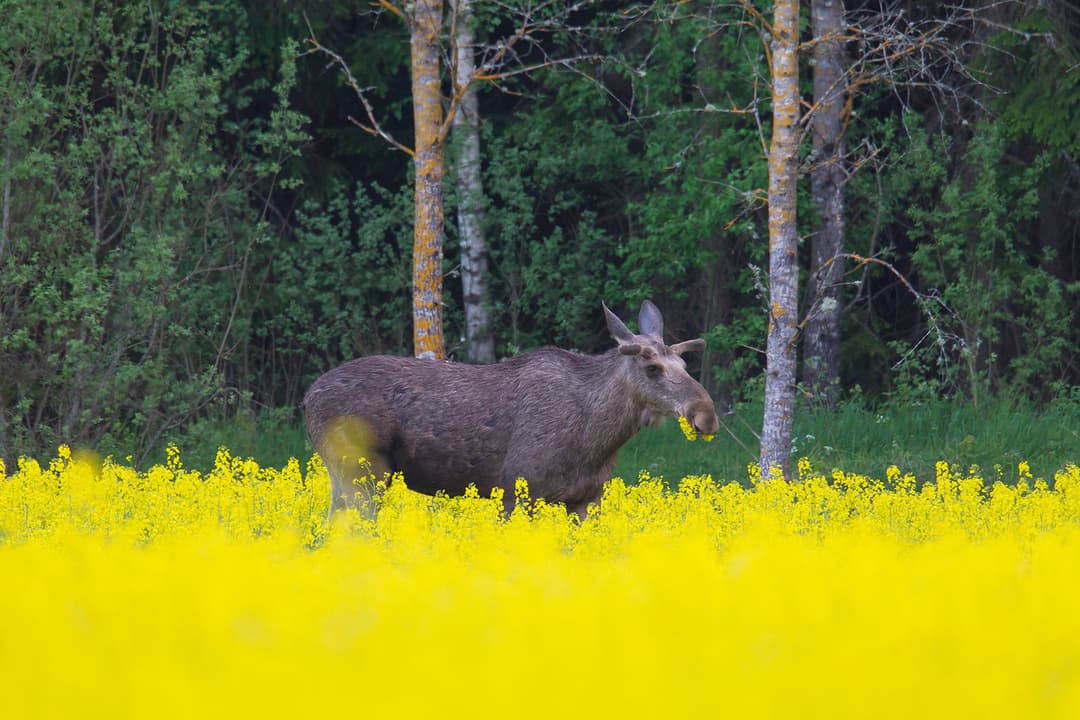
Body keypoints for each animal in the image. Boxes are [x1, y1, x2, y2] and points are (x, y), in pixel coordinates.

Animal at [302, 297, 717, 518]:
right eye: (652, 368)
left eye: (684, 365)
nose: (706, 415)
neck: (598, 437)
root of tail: (307, 398)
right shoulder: (519, 492)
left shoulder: (587, 499)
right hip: (363, 472)